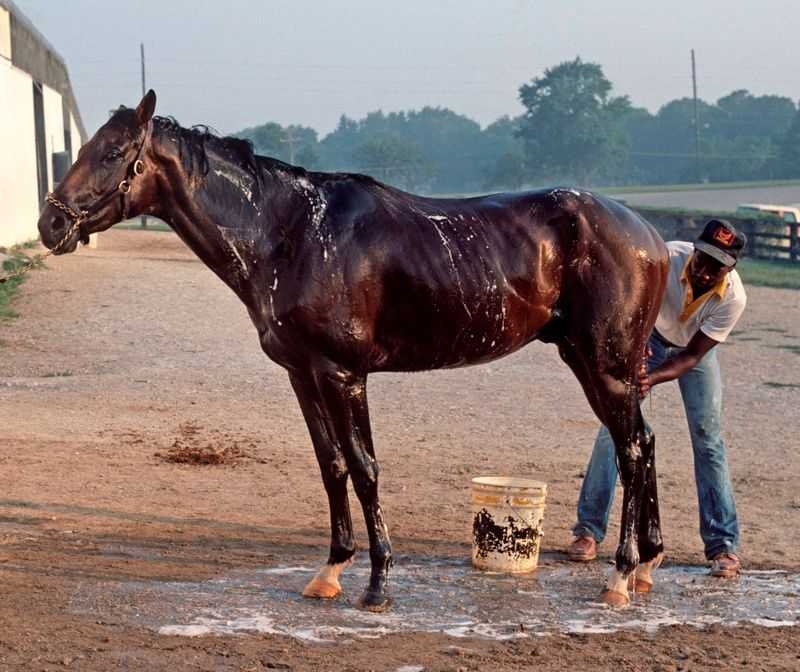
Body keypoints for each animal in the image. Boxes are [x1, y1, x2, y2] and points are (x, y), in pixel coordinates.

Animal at [38, 91, 669, 610]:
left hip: (605, 366)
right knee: (644, 443)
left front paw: (378, 582)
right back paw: (647, 564)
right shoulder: (302, 374)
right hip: (596, 363)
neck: (291, 233)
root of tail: (653, 238)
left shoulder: (343, 374)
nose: (50, 224)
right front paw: (331, 571)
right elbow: (332, 465)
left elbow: (365, 468)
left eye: (112, 152)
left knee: (633, 450)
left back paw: (620, 576)